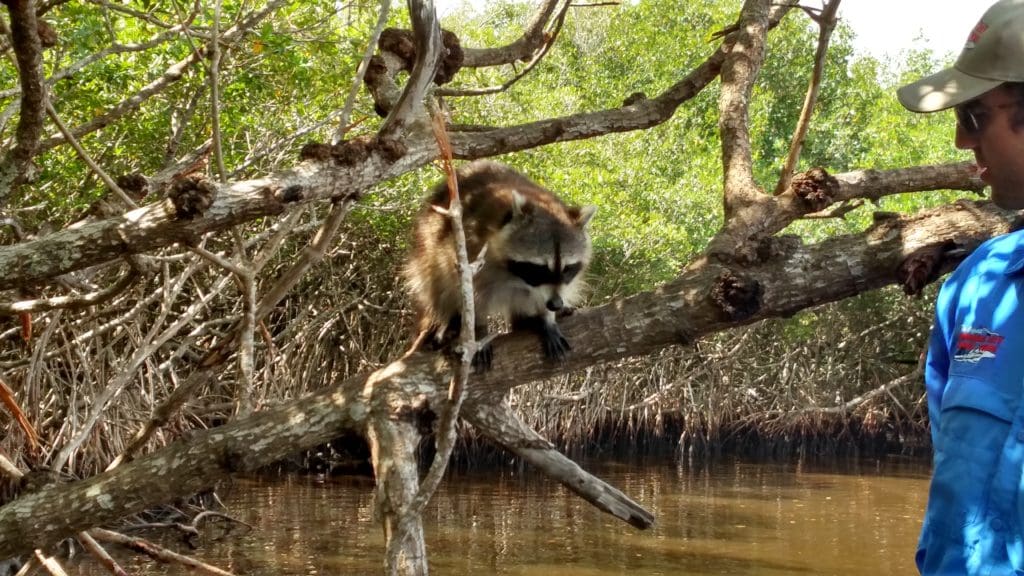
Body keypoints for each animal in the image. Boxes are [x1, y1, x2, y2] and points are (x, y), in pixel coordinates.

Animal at [401, 158, 598, 366]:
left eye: (568, 269)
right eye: (539, 269)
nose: (555, 305)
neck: (516, 277)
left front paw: (547, 318)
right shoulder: (471, 251)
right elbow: (471, 297)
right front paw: (478, 331)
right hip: (427, 249)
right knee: (439, 281)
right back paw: (448, 323)